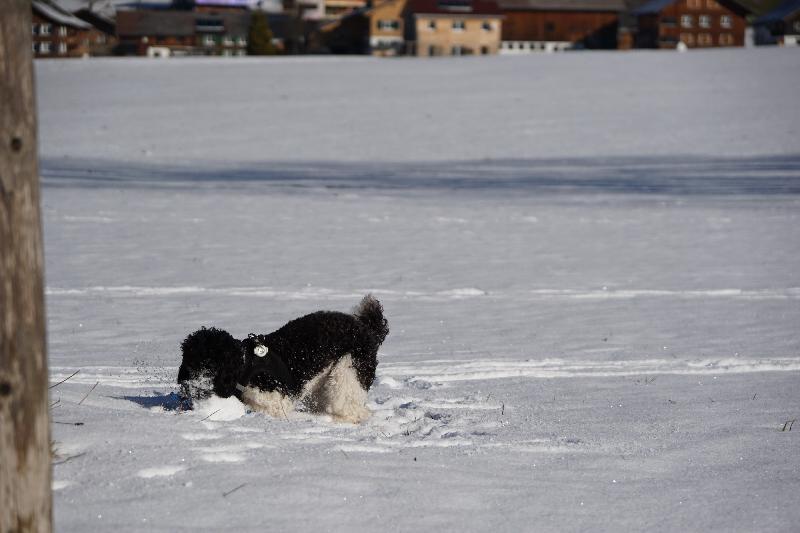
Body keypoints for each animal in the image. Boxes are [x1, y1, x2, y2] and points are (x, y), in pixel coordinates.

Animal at [177, 294, 389, 423]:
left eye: (210, 364)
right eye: (188, 361)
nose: (190, 386)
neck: (246, 364)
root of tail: (367, 328)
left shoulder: (276, 403)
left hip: (348, 372)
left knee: (352, 409)